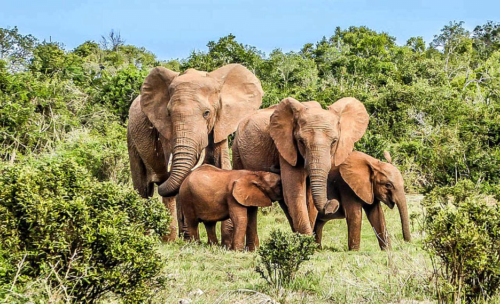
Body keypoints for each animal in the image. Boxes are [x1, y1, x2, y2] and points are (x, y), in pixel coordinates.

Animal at [127, 63, 264, 240]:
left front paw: (226, 240)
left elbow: (224, 165)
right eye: (169, 114)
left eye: (206, 113)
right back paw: (161, 238)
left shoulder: (220, 124)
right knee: (143, 189)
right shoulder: (166, 131)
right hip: (131, 137)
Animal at [232, 97, 370, 235]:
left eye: (334, 142)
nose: (333, 203)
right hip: (237, 150)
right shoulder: (286, 147)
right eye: (301, 141)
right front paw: (307, 240)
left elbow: (308, 198)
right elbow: (294, 192)